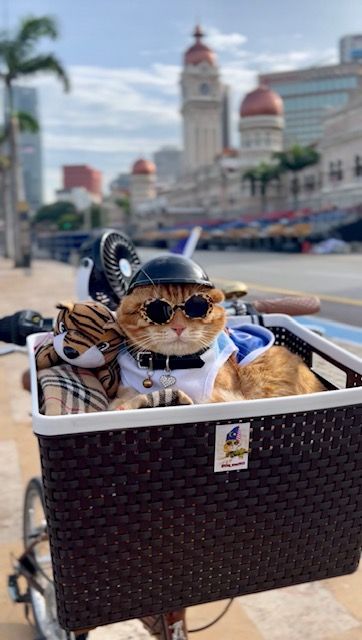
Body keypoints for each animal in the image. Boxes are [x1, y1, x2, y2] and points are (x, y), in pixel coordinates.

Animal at [110, 284, 326, 410]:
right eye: (157, 310)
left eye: (197, 306)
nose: (178, 327)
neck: (173, 365)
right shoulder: (126, 385)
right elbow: (131, 394)